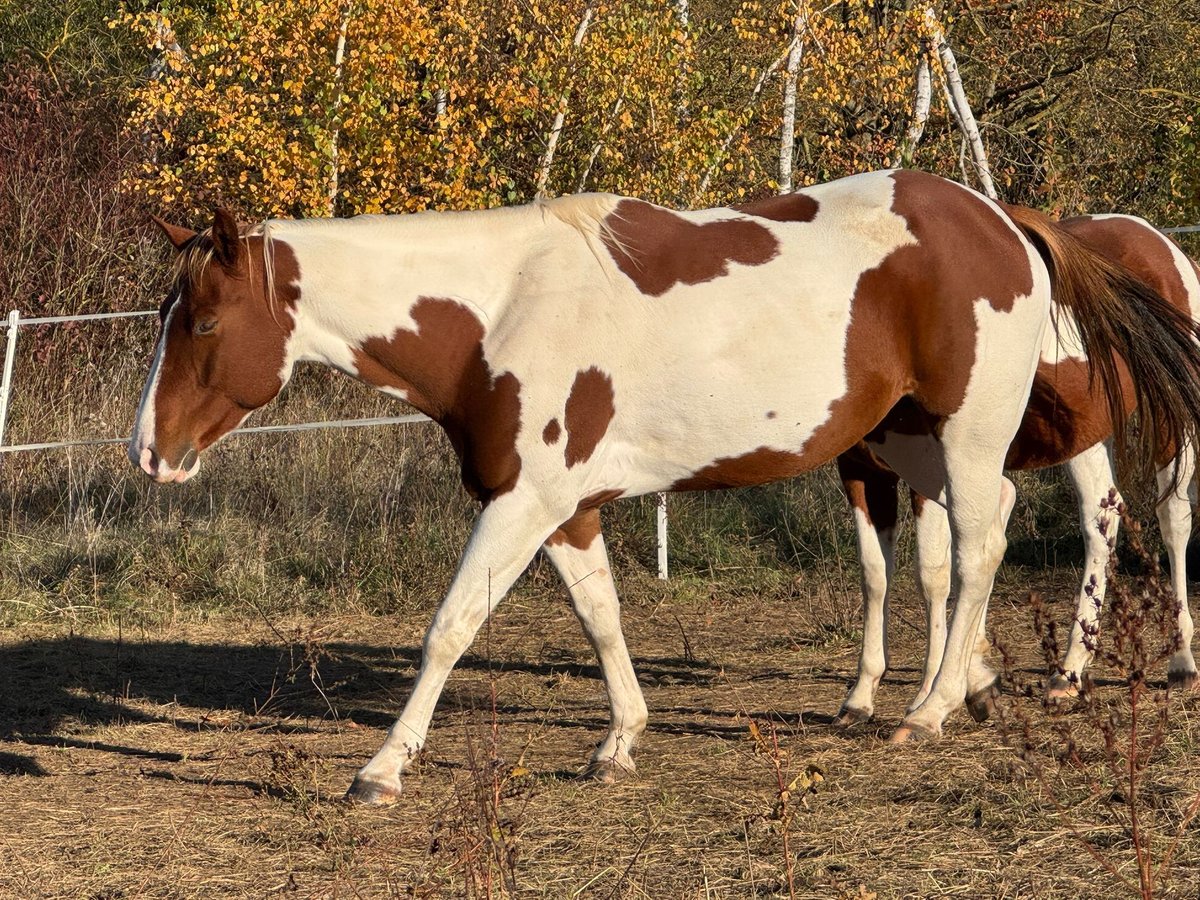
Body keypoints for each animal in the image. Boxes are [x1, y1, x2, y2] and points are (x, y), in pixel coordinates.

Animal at [835, 213, 1200, 724]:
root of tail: (1159, 241)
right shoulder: (860, 471)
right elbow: (874, 573)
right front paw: (861, 696)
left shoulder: (933, 471)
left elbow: (933, 572)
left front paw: (930, 691)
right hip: (1085, 435)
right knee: (1101, 518)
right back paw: (1069, 671)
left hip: (1170, 417)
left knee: (1174, 519)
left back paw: (1181, 661)